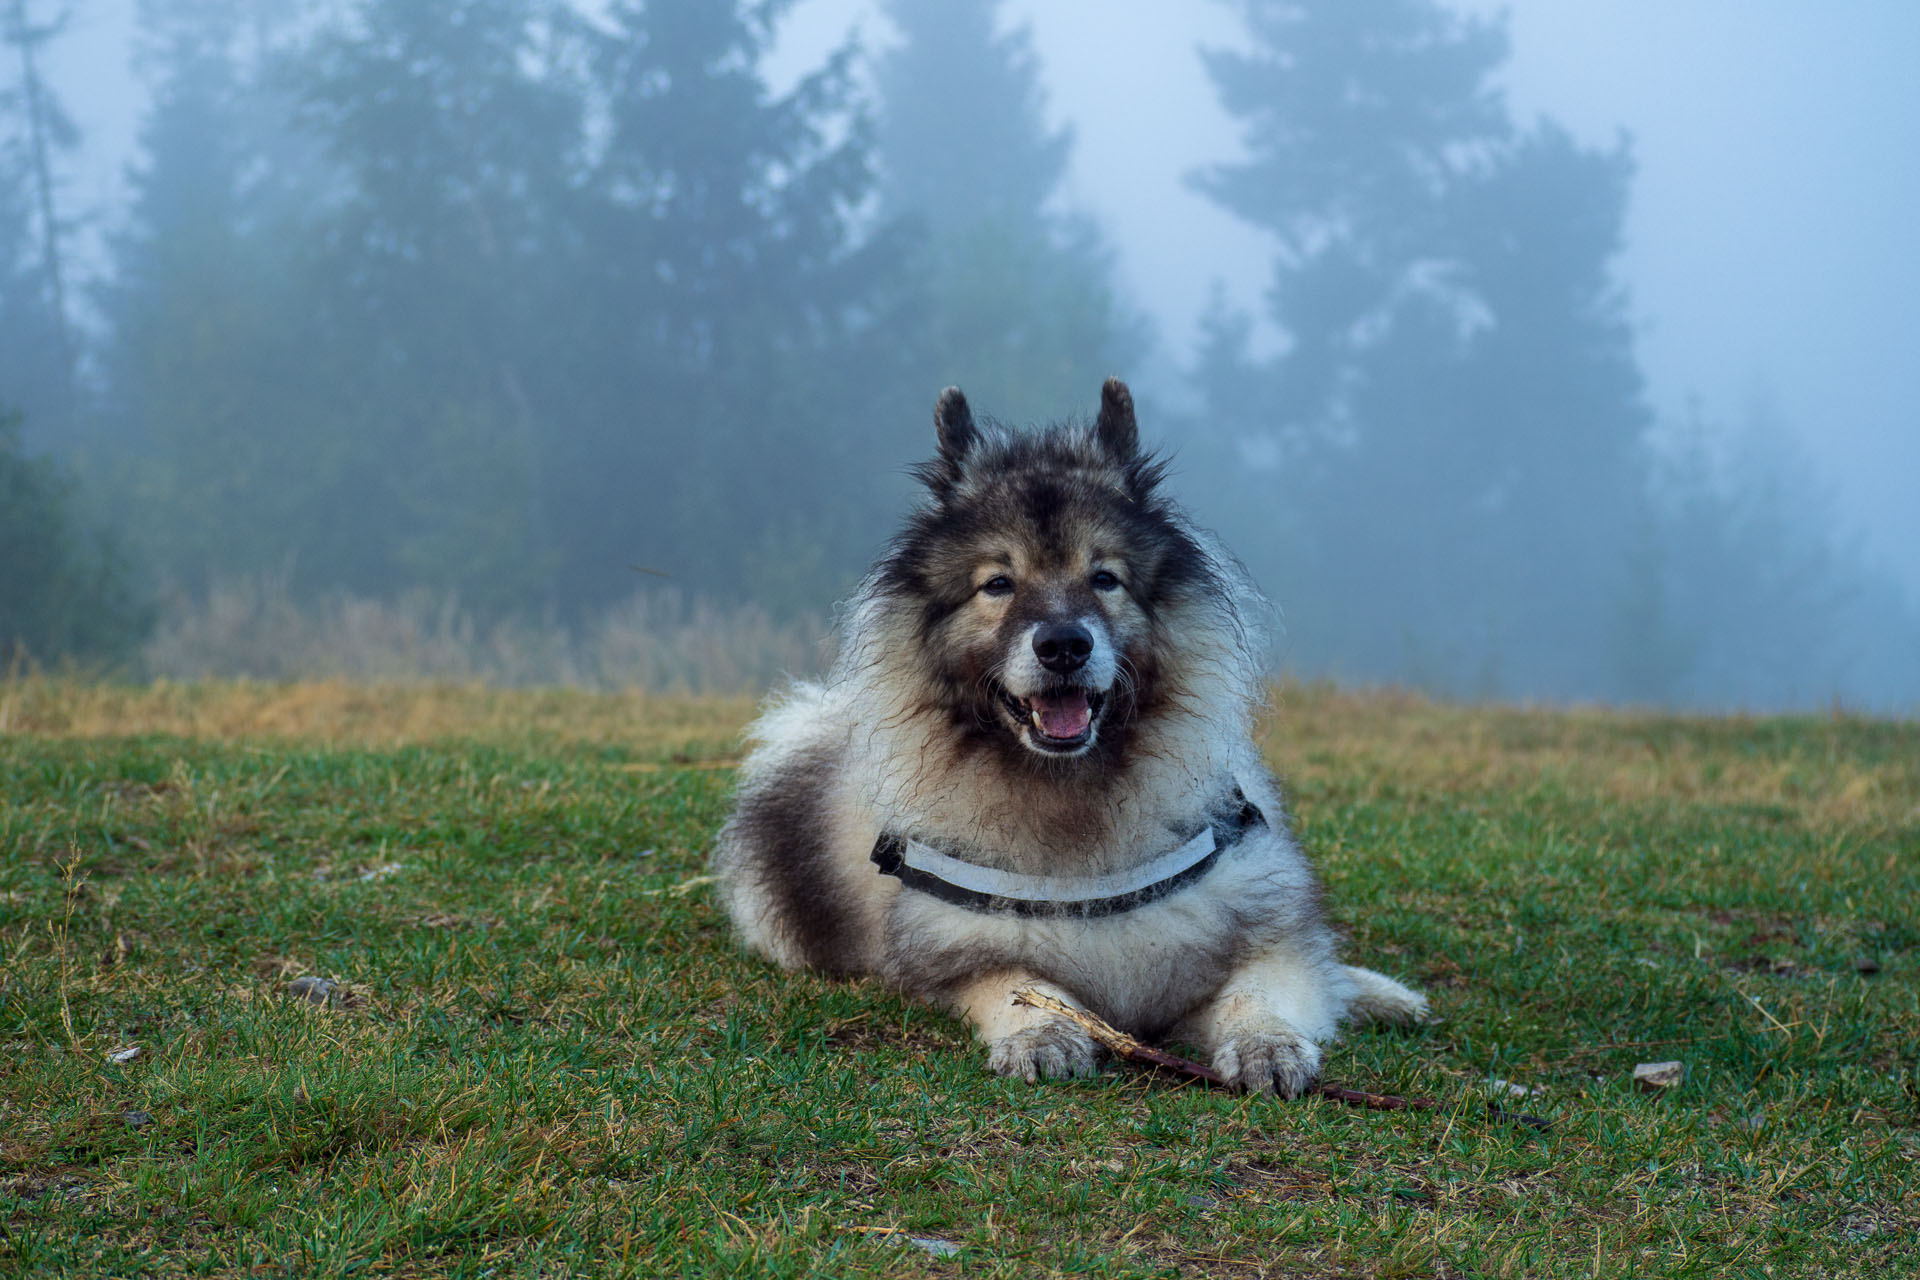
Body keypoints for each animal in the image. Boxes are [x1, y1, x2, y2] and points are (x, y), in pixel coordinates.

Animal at [714, 379, 1420, 1090]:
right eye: (998, 584)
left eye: (1104, 578)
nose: (1062, 645)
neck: (1072, 799)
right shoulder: (960, 955)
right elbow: (1019, 986)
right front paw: (1043, 1034)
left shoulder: (1266, 928)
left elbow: (1265, 988)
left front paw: (1267, 1045)